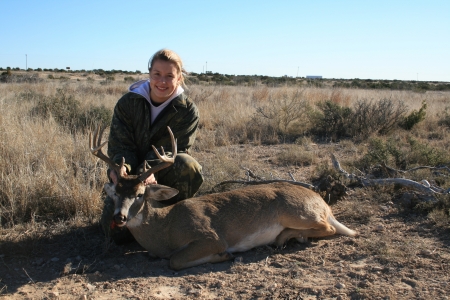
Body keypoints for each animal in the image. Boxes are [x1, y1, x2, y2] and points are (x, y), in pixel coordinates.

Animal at [89, 125, 356, 270]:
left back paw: (285, 237)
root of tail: (323, 203)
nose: (120, 217)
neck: (165, 227)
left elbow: (175, 260)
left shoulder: (210, 236)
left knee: (331, 229)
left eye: (140, 194)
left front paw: (224, 255)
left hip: (296, 212)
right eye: (116, 193)